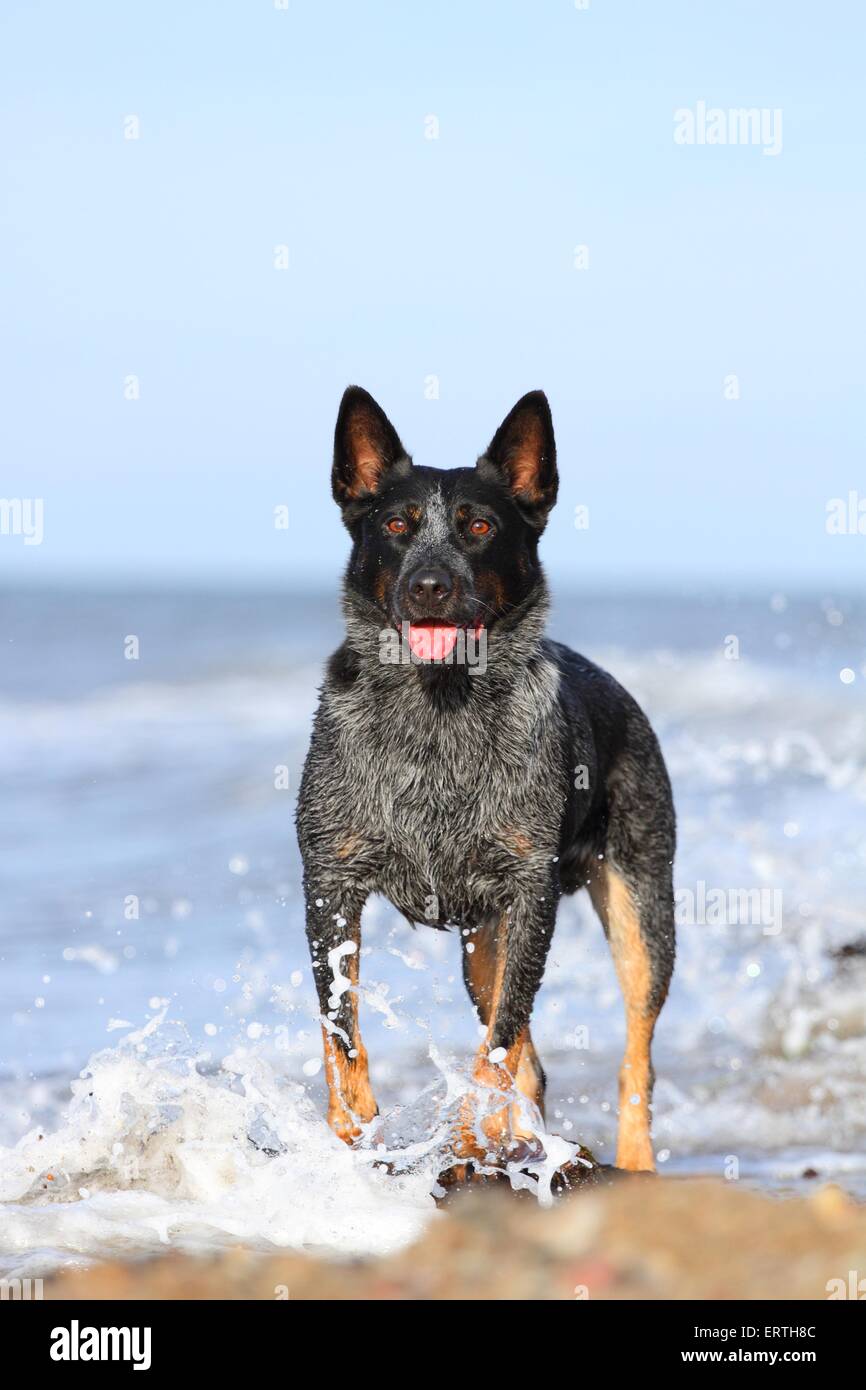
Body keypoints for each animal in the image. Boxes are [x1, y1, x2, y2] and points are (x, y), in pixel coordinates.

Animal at [297, 383, 678, 1173]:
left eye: (478, 526)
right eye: (397, 525)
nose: (430, 584)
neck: (437, 716)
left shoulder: (530, 890)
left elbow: (499, 1042)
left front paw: (473, 1131)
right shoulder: (329, 879)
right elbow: (339, 1024)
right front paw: (351, 1129)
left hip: (641, 909)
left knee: (631, 1049)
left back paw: (627, 1162)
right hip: (482, 942)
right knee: (531, 1054)